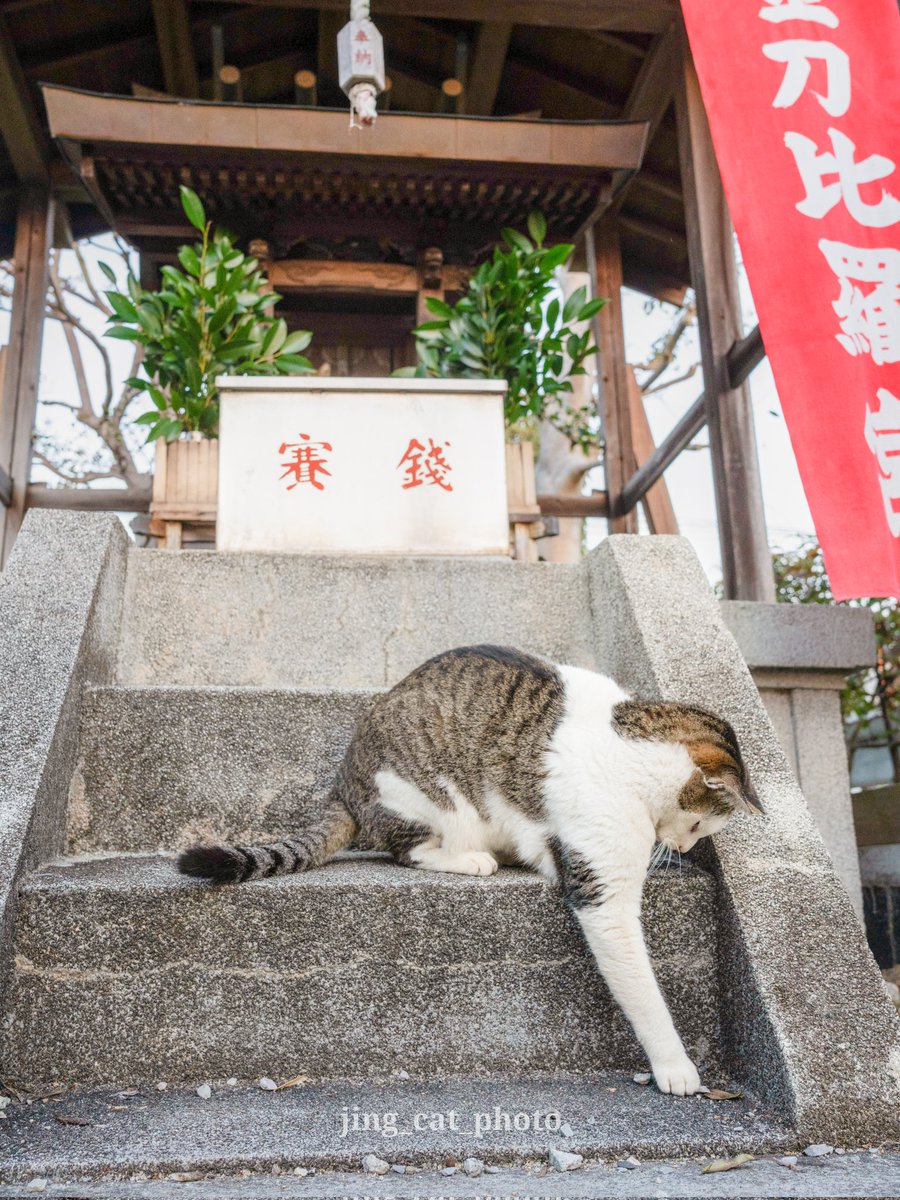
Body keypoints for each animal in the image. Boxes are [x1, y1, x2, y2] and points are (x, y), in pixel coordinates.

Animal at [180, 648, 763, 1099]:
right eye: (703, 822)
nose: (686, 845)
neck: (631, 746)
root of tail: (344, 783)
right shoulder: (604, 891)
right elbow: (642, 989)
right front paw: (675, 1066)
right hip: (426, 797)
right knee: (410, 850)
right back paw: (472, 858)